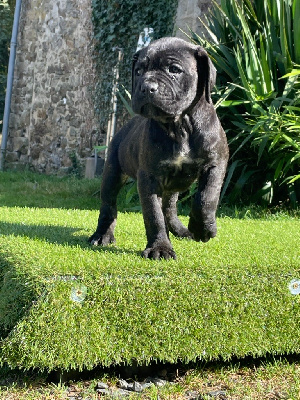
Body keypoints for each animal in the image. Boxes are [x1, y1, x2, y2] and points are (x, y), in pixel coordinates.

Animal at [90, 37, 229, 260]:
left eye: (174, 69)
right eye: (138, 71)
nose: (147, 87)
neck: (179, 125)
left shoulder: (215, 163)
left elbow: (206, 198)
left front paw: (202, 229)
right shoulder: (149, 177)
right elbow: (153, 215)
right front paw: (160, 248)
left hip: (172, 186)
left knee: (169, 208)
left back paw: (181, 230)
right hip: (112, 172)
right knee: (108, 205)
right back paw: (102, 235)